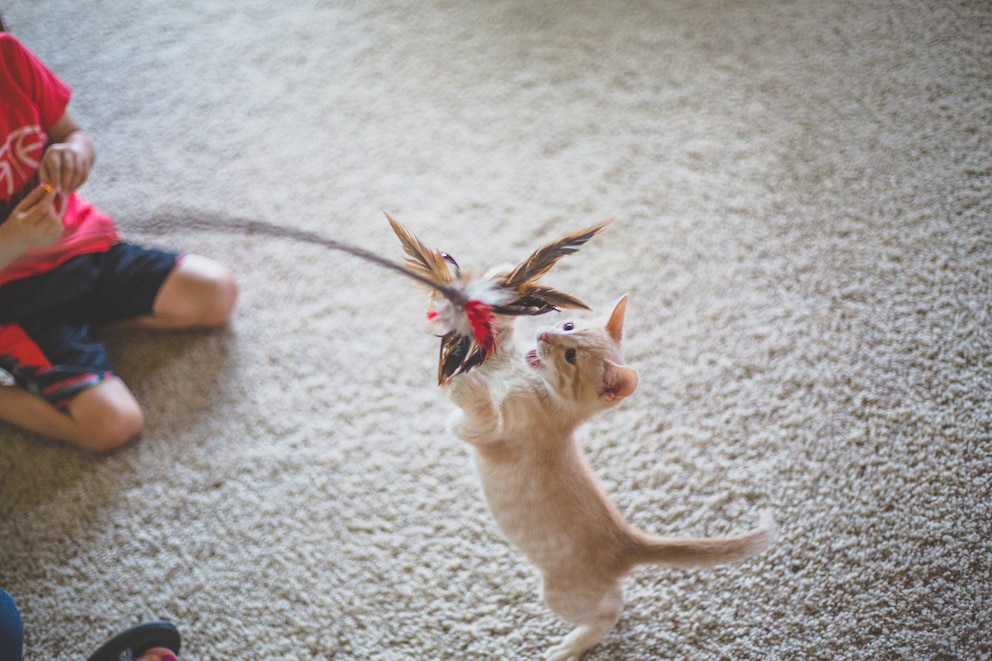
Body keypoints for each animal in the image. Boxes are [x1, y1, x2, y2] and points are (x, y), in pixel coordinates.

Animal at [448, 296, 776, 660]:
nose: (545, 334)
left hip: (561, 594)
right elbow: (498, 336)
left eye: (570, 356)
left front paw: (466, 387)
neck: (531, 382)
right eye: (568, 326)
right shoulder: (501, 359)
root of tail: (627, 540)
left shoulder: (490, 434)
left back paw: (575, 643)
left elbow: (480, 417)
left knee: (612, 609)